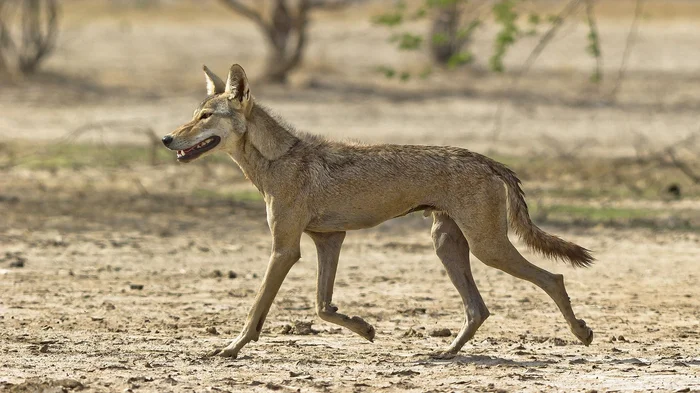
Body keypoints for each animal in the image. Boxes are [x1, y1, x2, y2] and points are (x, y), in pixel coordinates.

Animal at [161, 62, 592, 356]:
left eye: (205, 116)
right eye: (194, 114)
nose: (166, 138)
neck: (277, 159)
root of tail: (485, 159)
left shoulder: (284, 249)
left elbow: (256, 309)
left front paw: (231, 348)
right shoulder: (329, 240)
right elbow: (322, 306)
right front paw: (365, 328)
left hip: (488, 248)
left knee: (552, 278)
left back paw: (582, 333)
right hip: (447, 245)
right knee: (479, 309)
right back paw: (447, 353)